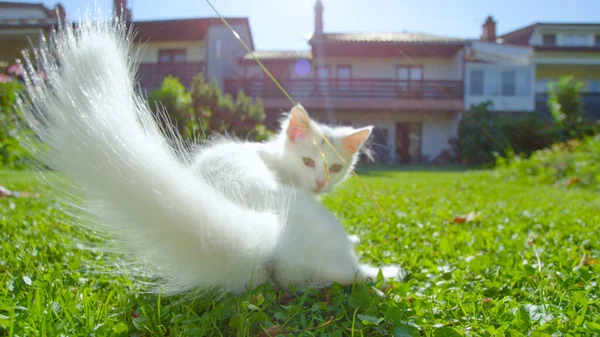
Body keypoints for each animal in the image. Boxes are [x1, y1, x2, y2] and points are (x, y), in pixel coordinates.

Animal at [19, 11, 404, 294]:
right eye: (308, 161)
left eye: (336, 168)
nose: (321, 183)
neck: (275, 157)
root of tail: (270, 239)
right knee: (355, 274)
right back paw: (387, 271)